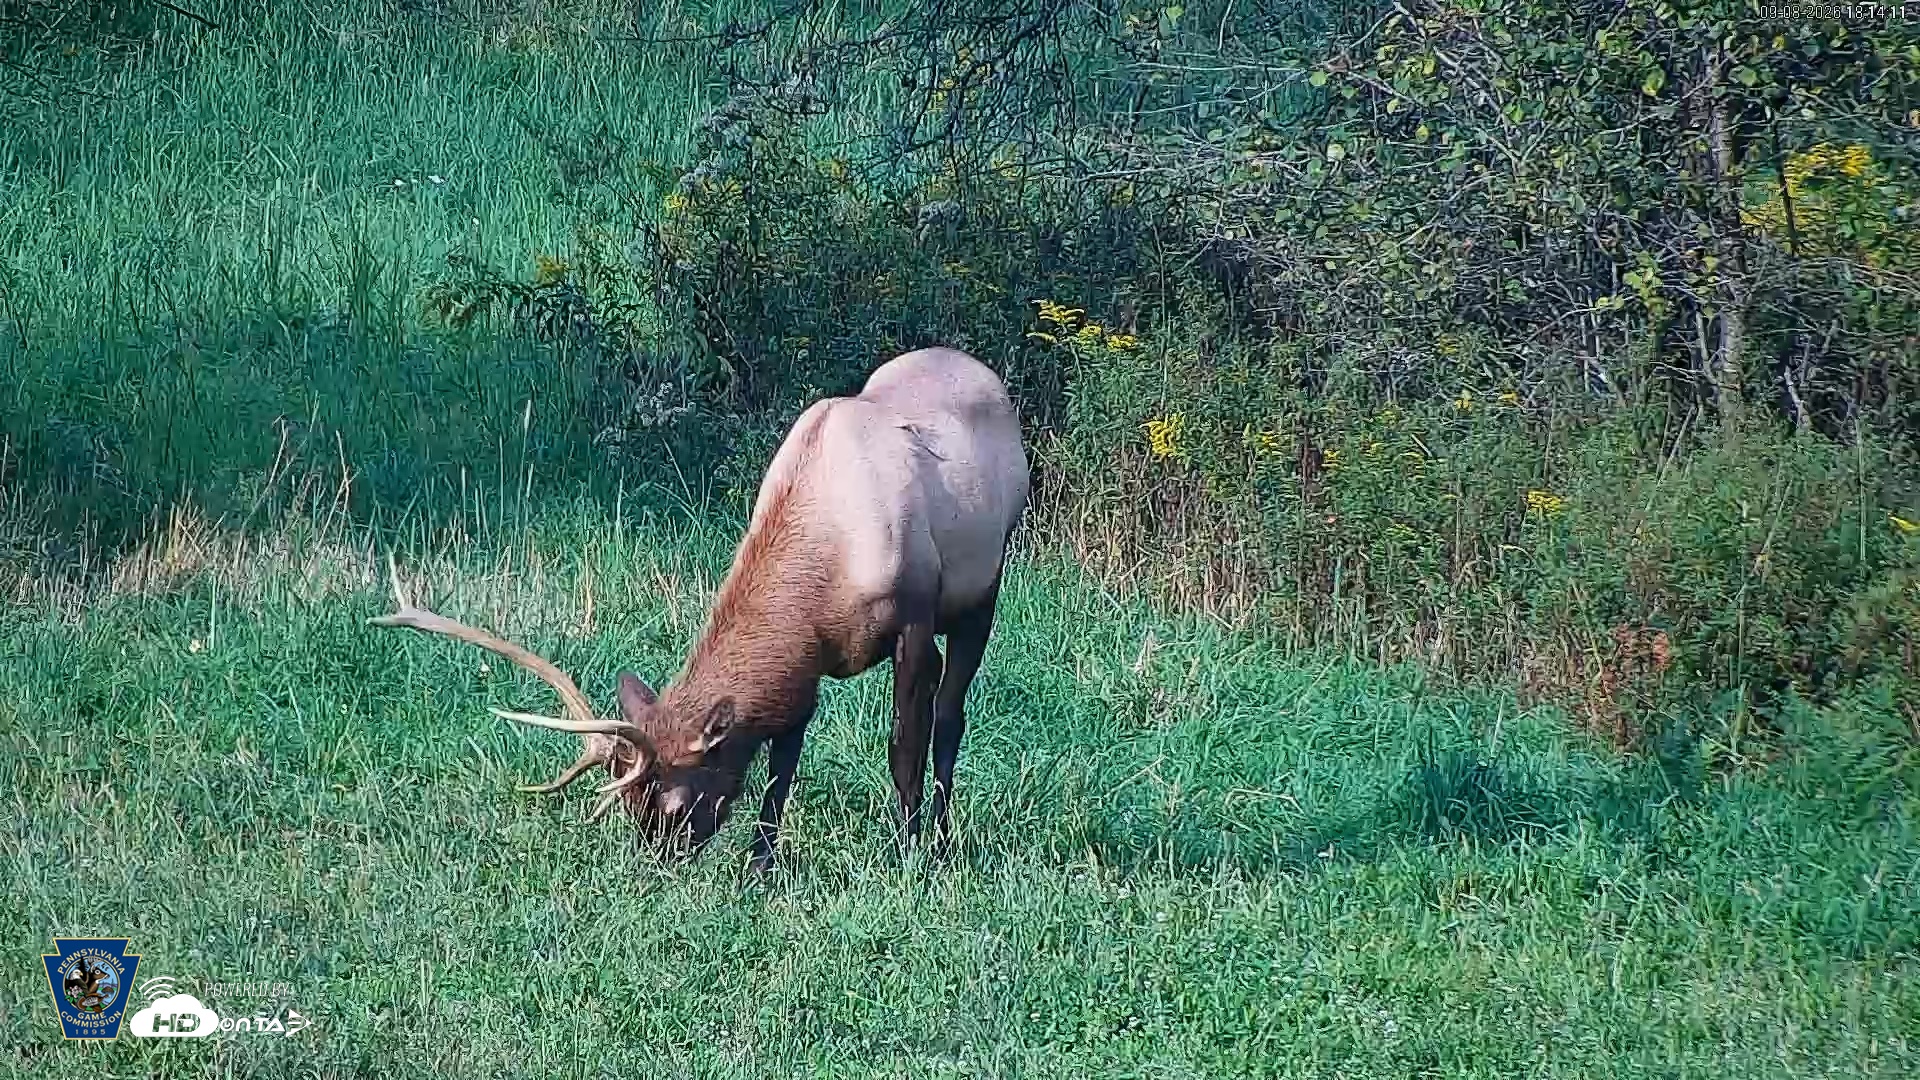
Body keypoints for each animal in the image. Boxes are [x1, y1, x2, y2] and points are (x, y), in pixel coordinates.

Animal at [372, 347, 1029, 871]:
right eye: (629, 802)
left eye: (675, 802)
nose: (657, 865)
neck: (829, 571)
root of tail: (988, 375)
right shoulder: (805, 662)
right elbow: (781, 761)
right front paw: (759, 866)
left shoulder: (913, 618)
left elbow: (904, 744)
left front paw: (907, 851)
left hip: (983, 587)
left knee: (950, 713)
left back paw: (941, 837)